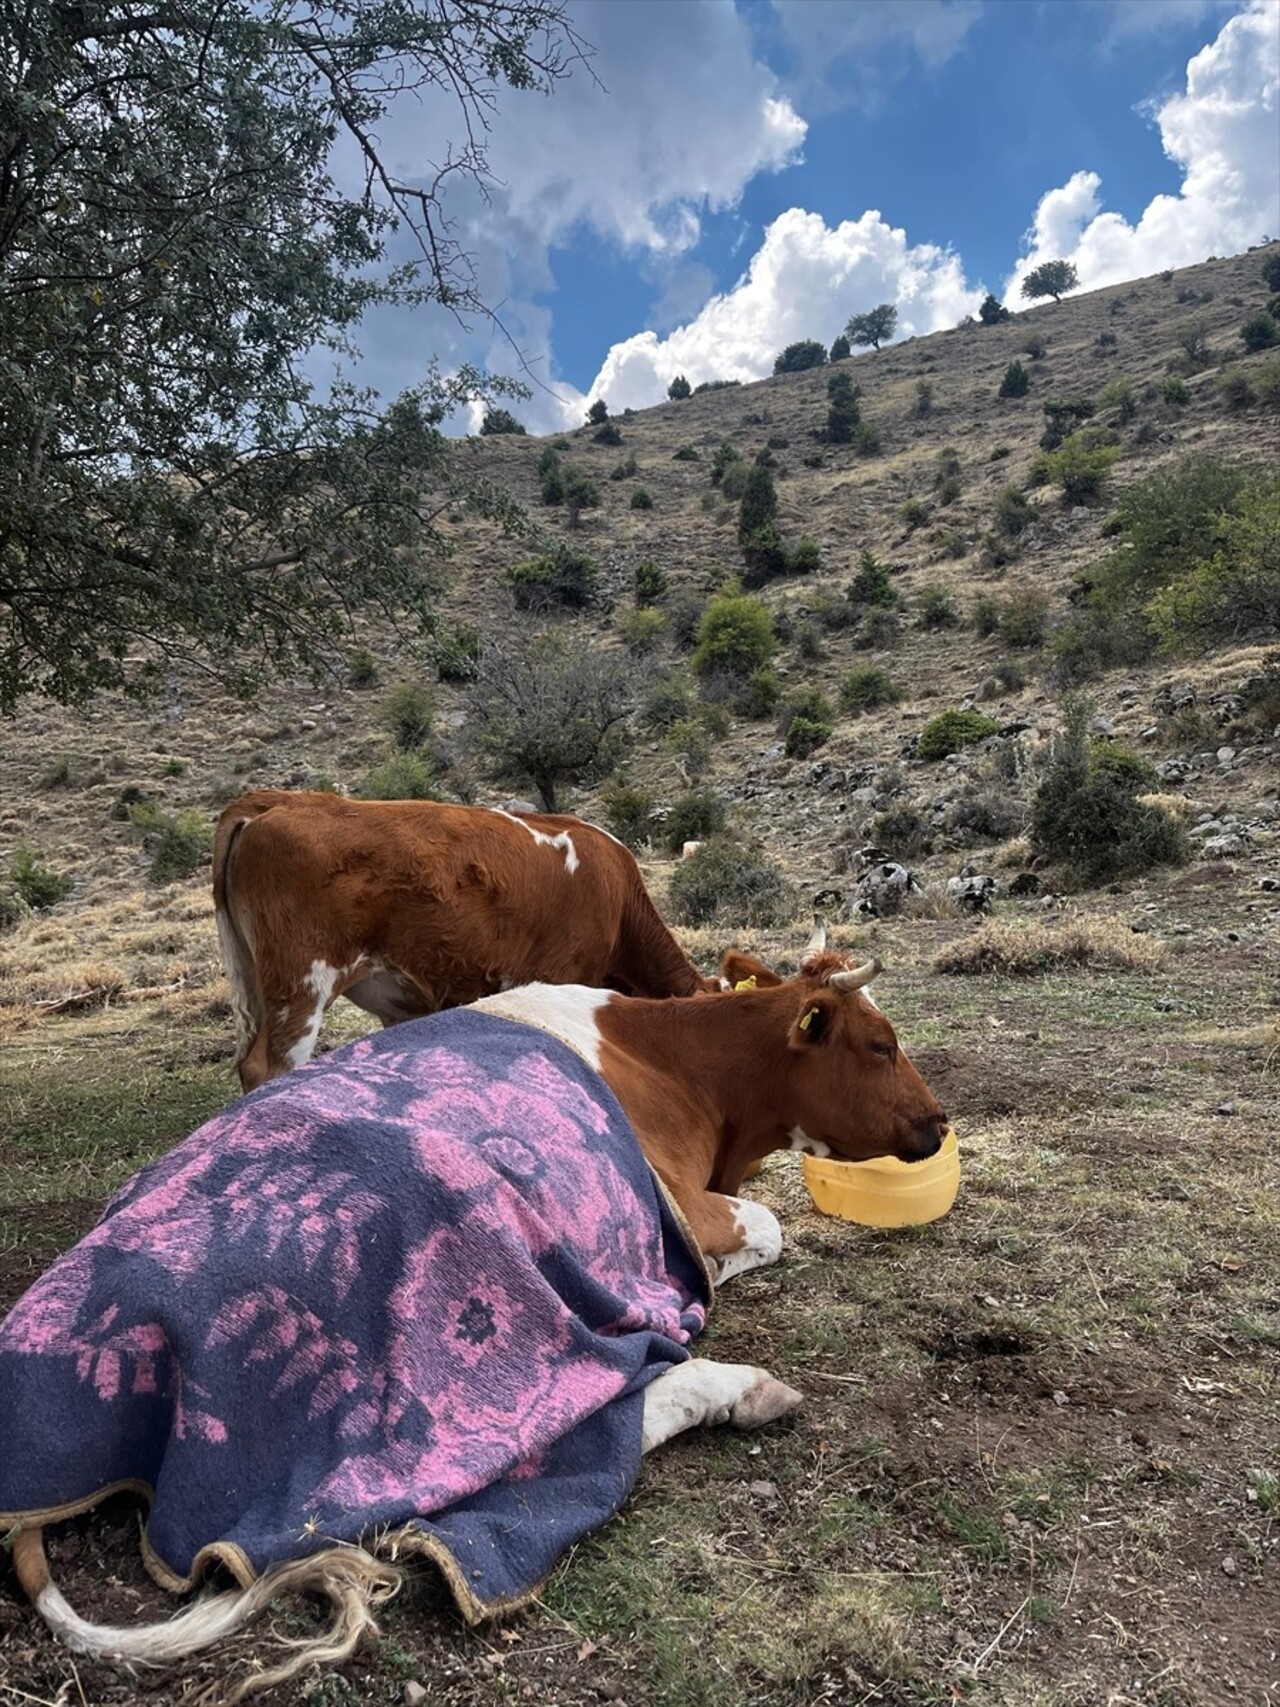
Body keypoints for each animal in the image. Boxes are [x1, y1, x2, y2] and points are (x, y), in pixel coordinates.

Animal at [5, 955, 948, 1700]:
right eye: (881, 1043)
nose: (941, 1122)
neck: (676, 1065)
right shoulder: (686, 1202)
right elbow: (768, 1228)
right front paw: (705, 1287)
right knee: (581, 1427)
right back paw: (736, 1386)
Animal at [215, 788, 727, 1092]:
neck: (619, 904)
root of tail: (274, 800)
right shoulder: (563, 979)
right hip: (303, 981)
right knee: (270, 1066)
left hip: (259, 981)